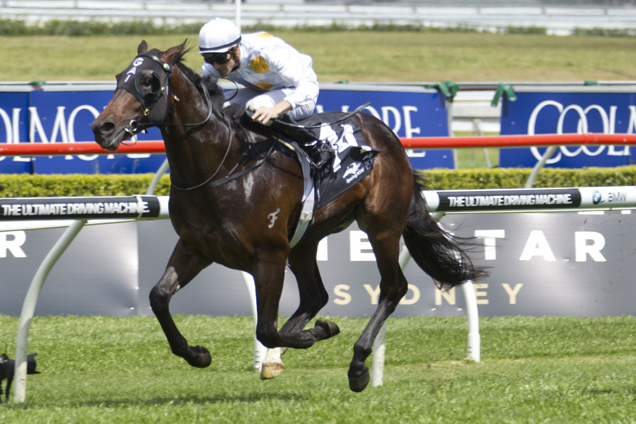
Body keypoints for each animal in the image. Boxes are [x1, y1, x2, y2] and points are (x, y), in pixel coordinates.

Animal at [92, 41, 484, 392]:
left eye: (149, 80)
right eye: (119, 77)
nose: (103, 127)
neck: (224, 166)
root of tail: (385, 133)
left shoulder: (270, 254)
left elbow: (265, 328)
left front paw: (319, 333)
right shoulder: (196, 247)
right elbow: (159, 297)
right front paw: (197, 354)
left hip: (381, 224)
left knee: (393, 287)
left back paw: (357, 365)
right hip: (305, 240)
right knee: (315, 296)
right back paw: (279, 356)